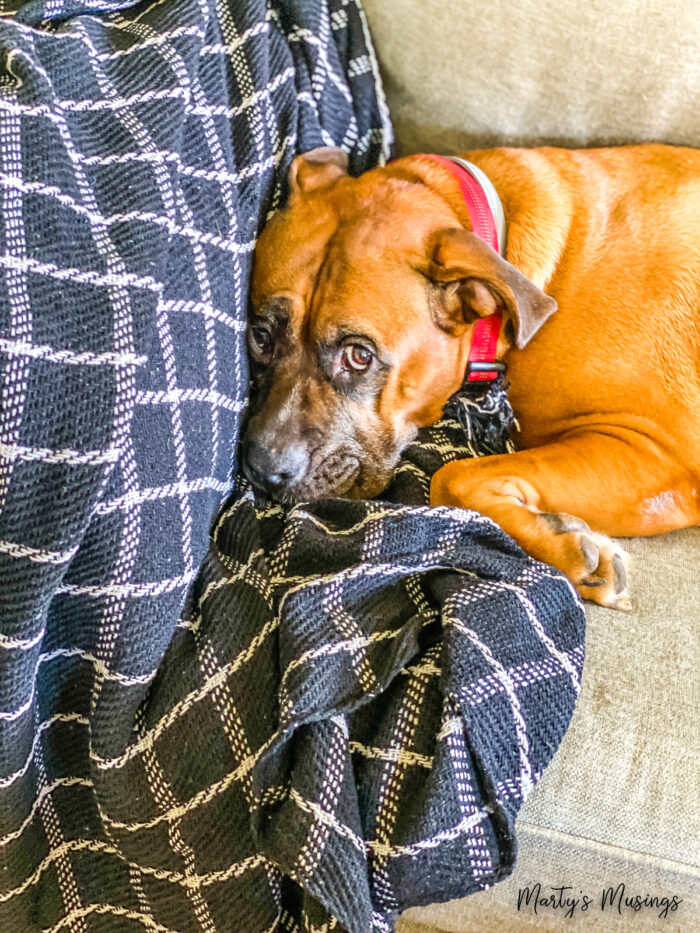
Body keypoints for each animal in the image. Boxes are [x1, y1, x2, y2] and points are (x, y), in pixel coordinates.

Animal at [242, 144, 700, 612]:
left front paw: (568, 551)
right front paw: (563, 543)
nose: (263, 470)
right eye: (261, 337)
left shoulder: (659, 451)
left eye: (358, 356)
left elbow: (452, 477)